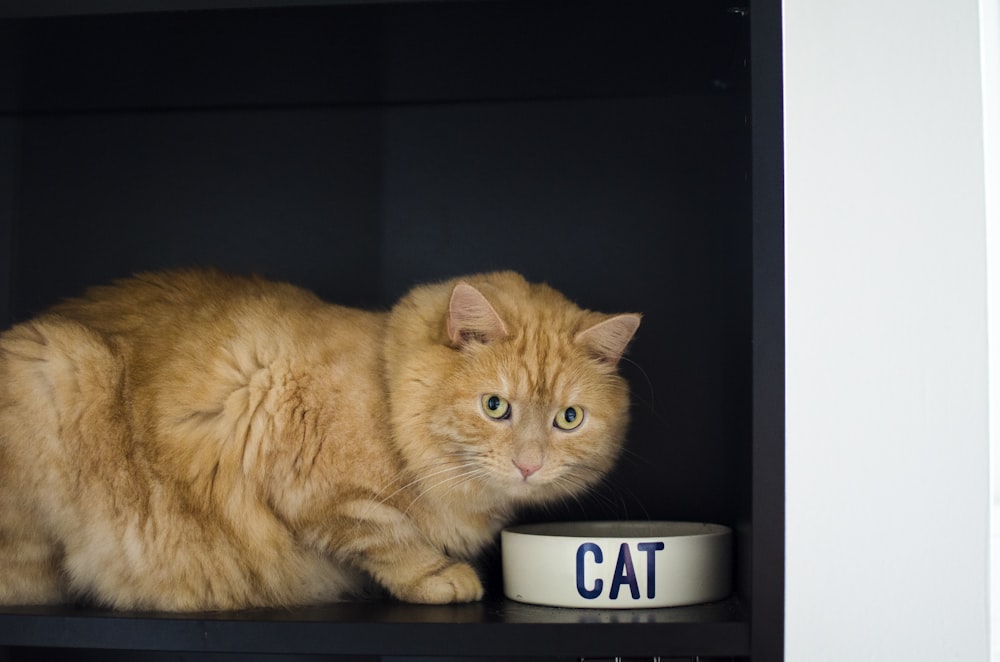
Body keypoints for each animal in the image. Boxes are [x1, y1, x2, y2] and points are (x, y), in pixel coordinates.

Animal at [0, 272, 640, 612]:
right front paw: (437, 576)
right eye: (495, 406)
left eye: (568, 418)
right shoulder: (312, 481)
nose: (529, 465)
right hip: (56, 364)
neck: (384, 397)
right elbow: (387, 536)